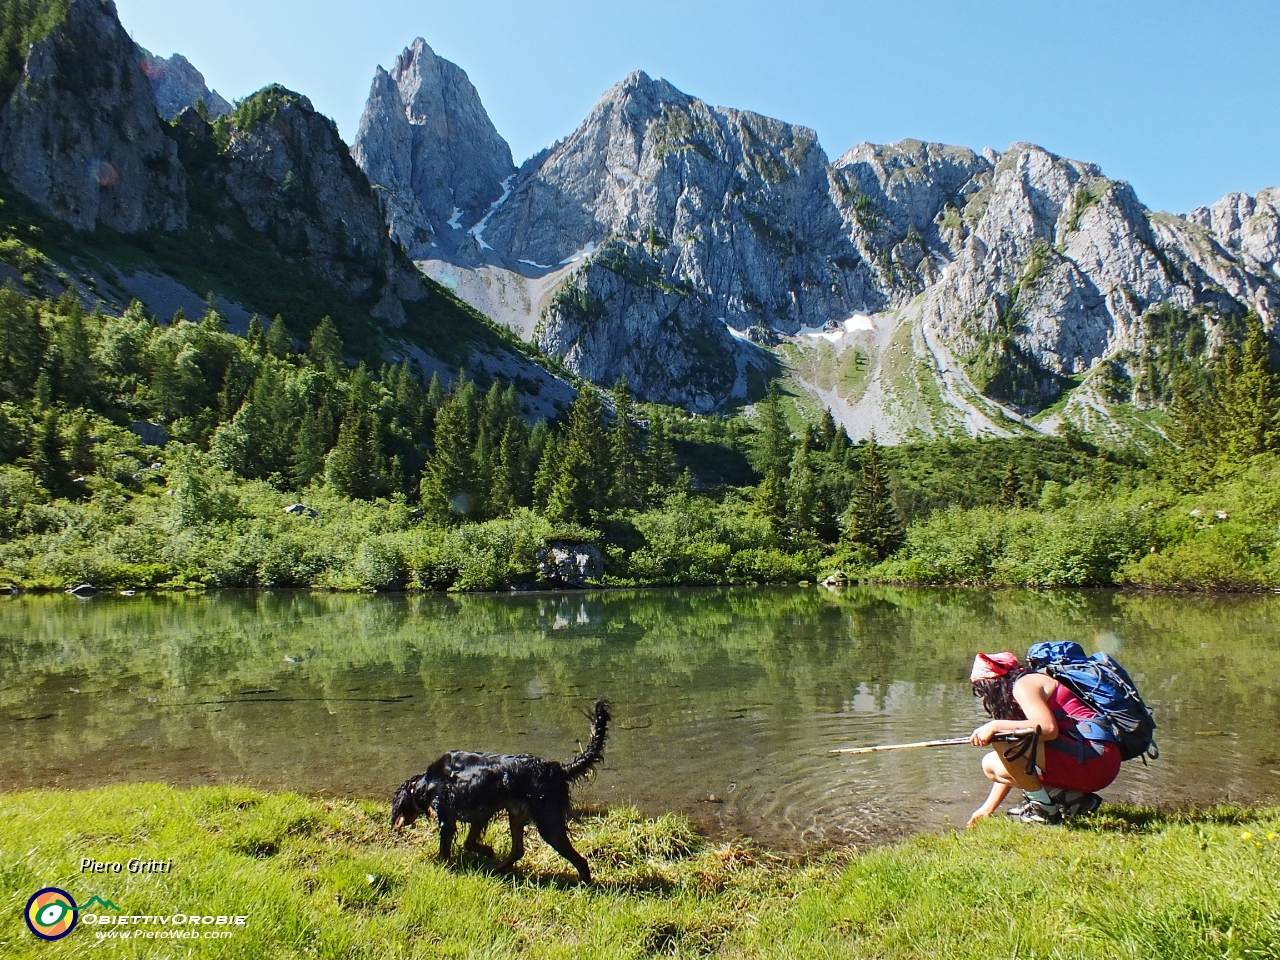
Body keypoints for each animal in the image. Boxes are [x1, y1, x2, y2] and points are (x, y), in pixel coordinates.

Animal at [389, 696, 609, 885]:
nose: (393, 824)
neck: (427, 783)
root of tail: (558, 769)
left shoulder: (447, 819)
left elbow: (446, 848)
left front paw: (443, 867)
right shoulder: (481, 814)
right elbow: (470, 842)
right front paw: (487, 851)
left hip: (548, 822)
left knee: (579, 860)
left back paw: (585, 884)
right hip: (517, 814)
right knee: (517, 850)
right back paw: (495, 869)